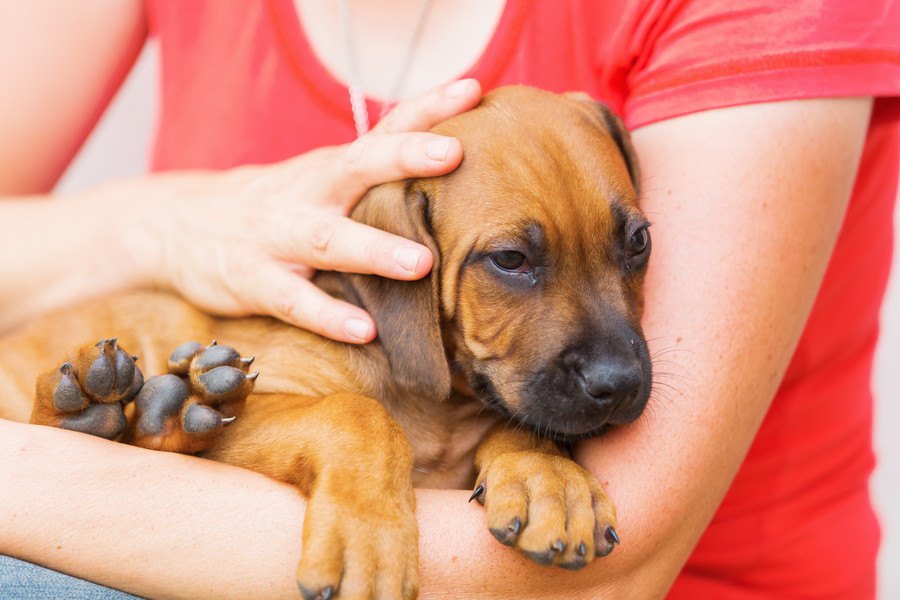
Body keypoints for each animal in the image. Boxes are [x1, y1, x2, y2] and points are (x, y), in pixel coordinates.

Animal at [0, 86, 652, 600]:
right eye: (511, 260)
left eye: (639, 241)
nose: (619, 384)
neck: (439, 407)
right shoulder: (264, 403)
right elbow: (355, 413)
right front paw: (370, 542)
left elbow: (524, 424)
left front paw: (551, 479)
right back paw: (100, 406)